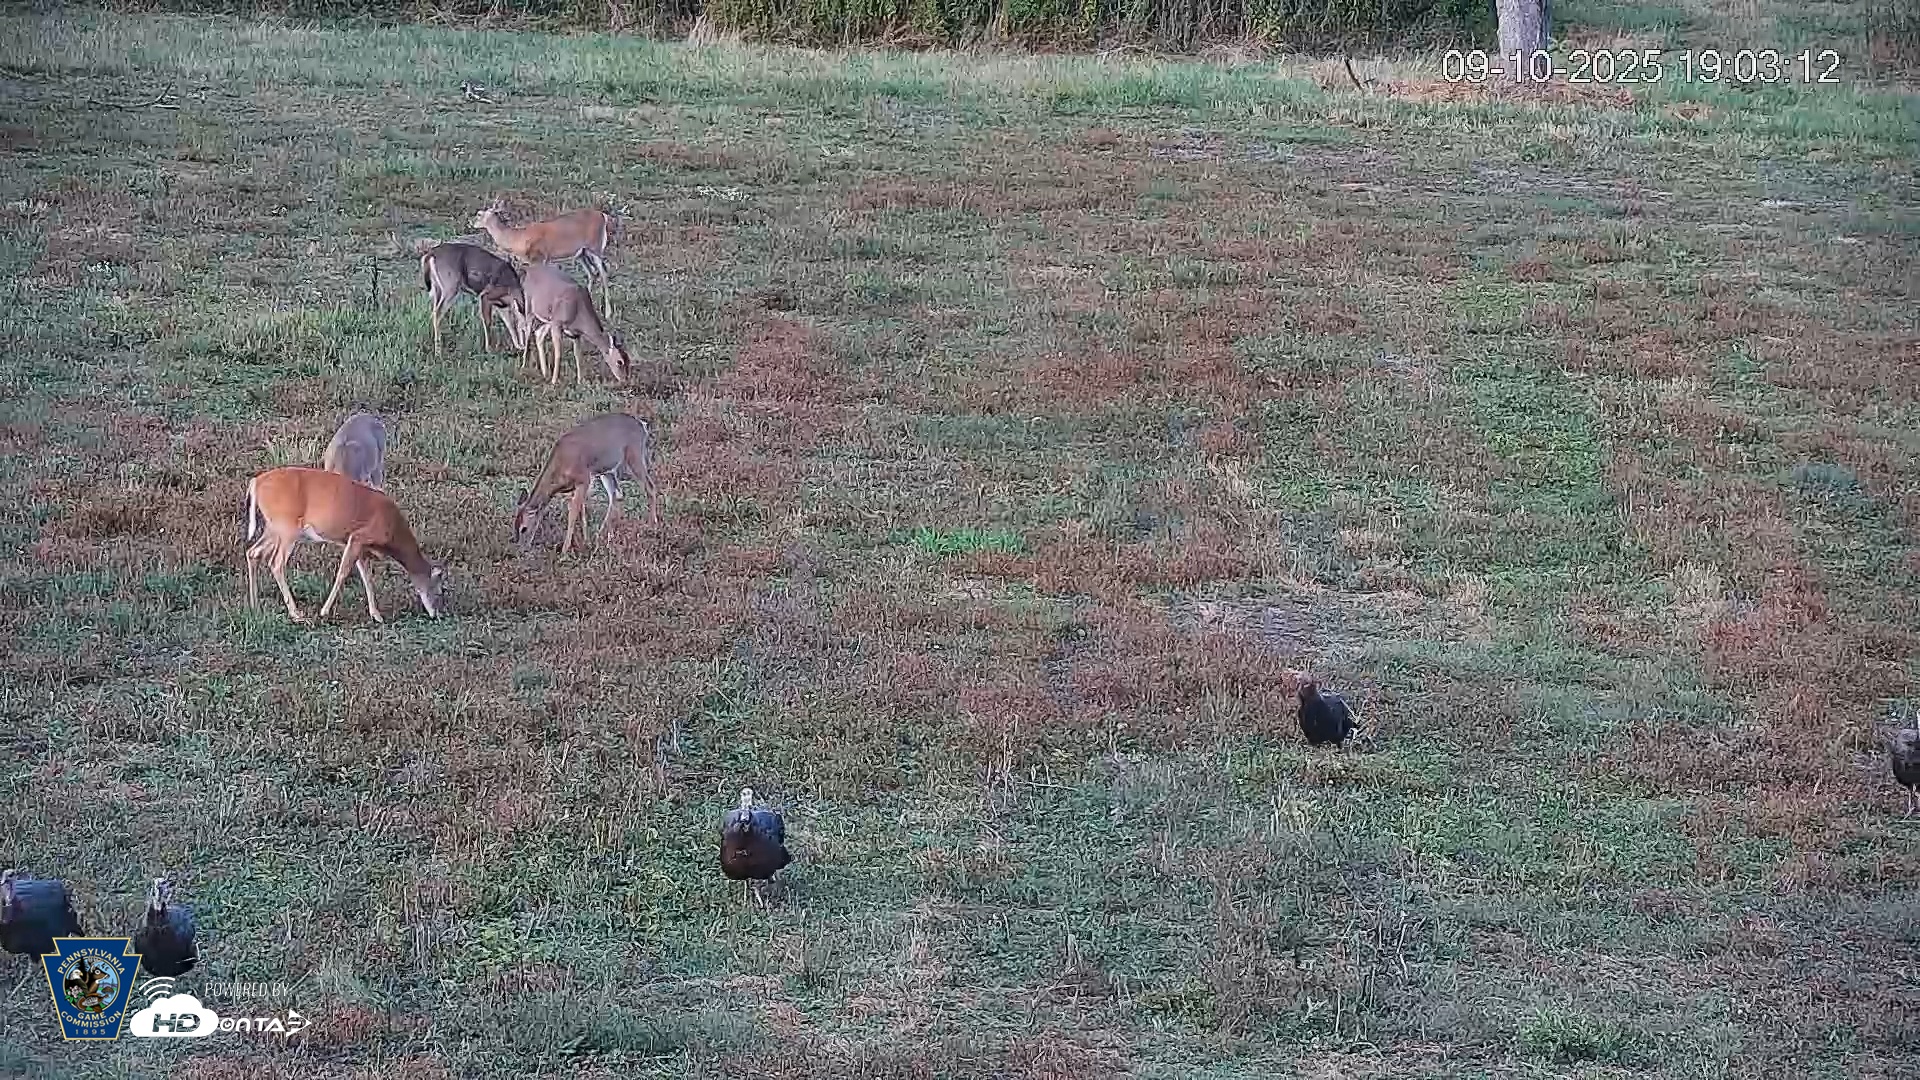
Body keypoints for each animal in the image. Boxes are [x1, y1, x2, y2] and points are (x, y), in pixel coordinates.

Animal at [244, 466, 446, 624]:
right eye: (440, 590)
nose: (436, 615)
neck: (393, 530)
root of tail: (256, 482)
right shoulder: (359, 536)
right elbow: (343, 572)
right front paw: (324, 611)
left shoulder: (360, 545)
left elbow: (366, 576)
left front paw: (377, 615)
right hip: (287, 527)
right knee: (276, 563)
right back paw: (296, 613)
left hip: (273, 527)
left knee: (253, 552)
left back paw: (254, 606)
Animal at [470, 202, 615, 316]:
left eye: (479, 214)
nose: (471, 223)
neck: (519, 239)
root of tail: (603, 215)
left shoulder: (539, 258)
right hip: (582, 253)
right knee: (592, 273)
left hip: (595, 246)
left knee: (603, 273)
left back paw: (608, 313)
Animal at [512, 413, 662, 554]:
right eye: (515, 526)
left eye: (524, 529)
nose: (521, 549)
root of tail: (642, 425)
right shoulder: (576, 486)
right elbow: (581, 511)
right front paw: (585, 539)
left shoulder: (584, 478)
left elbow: (573, 512)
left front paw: (565, 550)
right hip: (607, 470)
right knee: (616, 494)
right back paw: (603, 533)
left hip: (634, 455)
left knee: (649, 487)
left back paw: (651, 526)